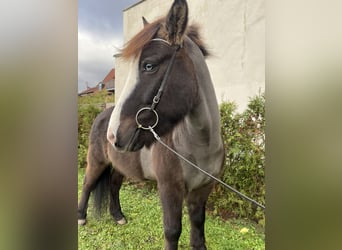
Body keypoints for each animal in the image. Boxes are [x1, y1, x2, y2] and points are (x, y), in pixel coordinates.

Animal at [79, 0, 226, 248]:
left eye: (149, 66)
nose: (113, 135)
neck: (200, 146)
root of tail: (101, 116)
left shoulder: (201, 191)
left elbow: (198, 231)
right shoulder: (169, 188)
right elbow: (172, 231)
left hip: (119, 166)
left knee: (114, 186)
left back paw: (118, 216)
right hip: (97, 161)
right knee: (88, 183)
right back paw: (81, 217)